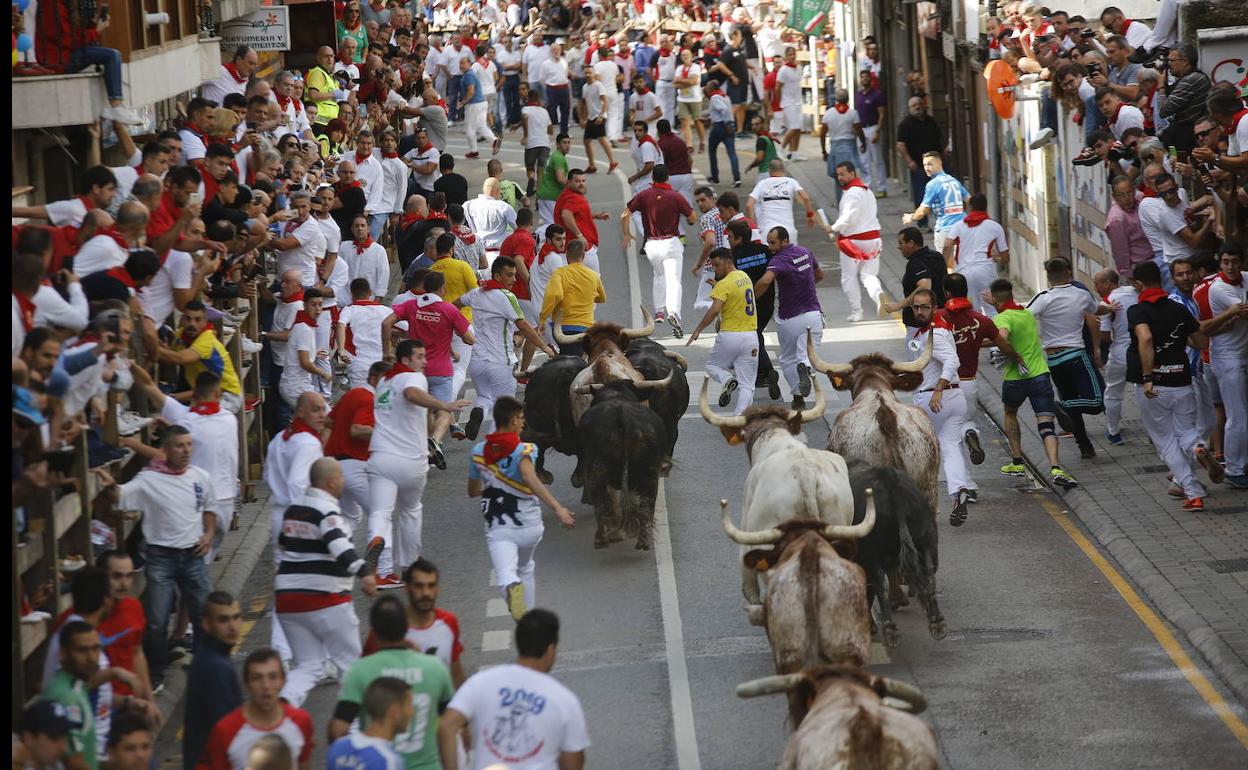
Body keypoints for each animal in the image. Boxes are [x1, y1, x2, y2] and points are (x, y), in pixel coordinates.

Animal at [574, 379, 673, 546]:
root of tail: (622, 418)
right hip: (650, 473)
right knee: (647, 503)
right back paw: (641, 538)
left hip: (597, 470)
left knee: (601, 503)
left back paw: (606, 537)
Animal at [848, 459, 943, 643]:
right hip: (927, 536)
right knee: (929, 571)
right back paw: (937, 622)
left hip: (869, 551)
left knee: (879, 582)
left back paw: (889, 629)